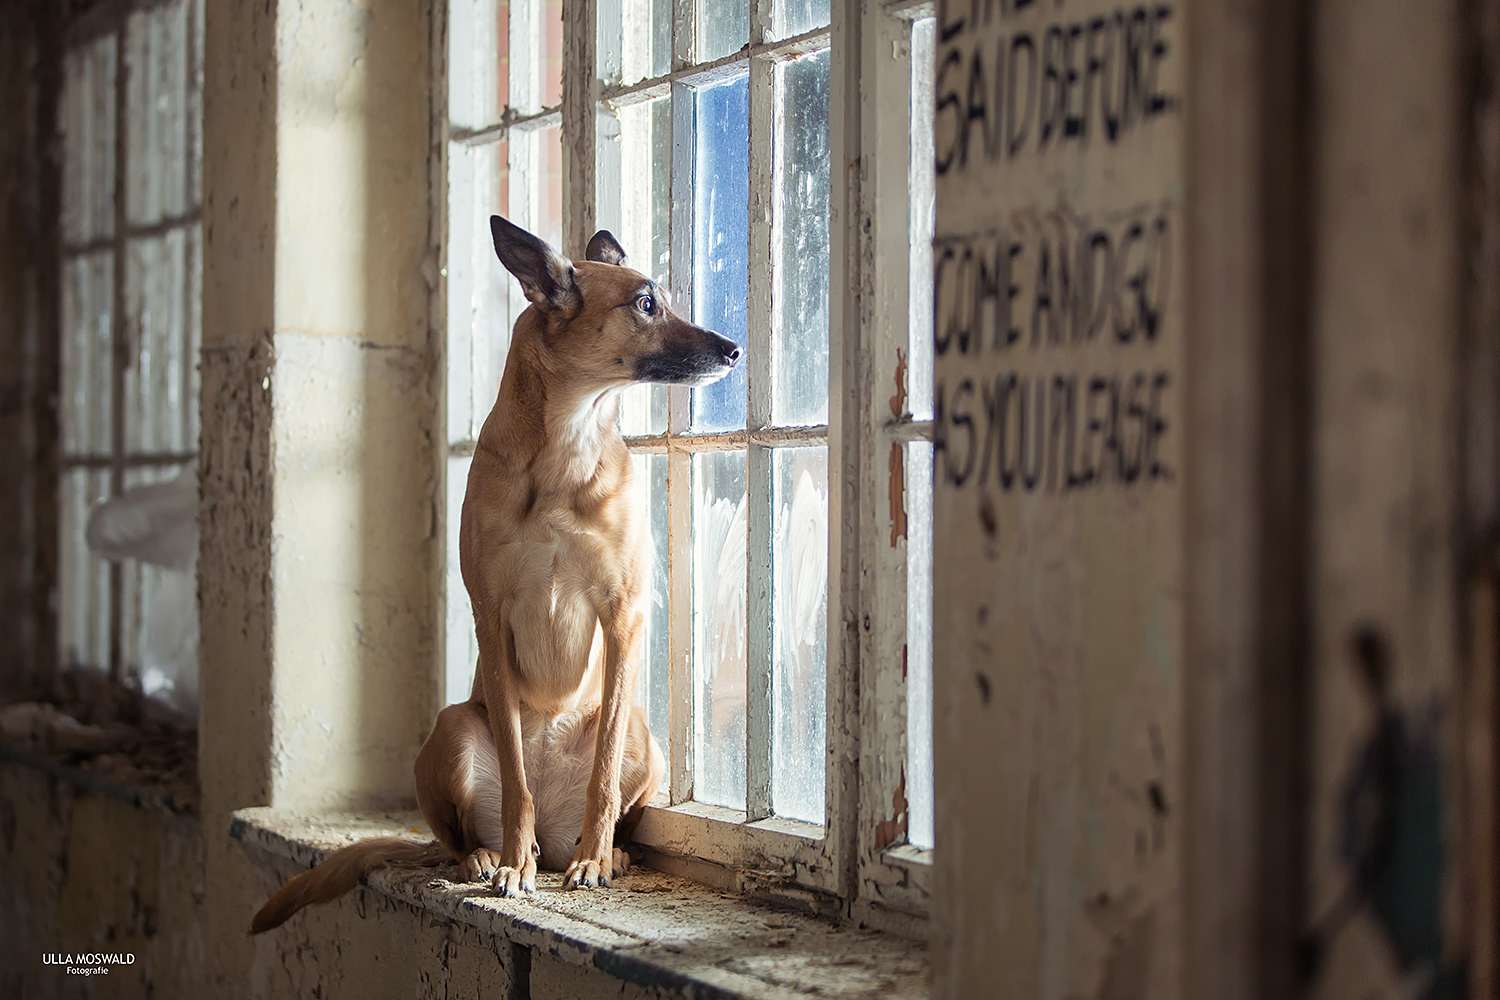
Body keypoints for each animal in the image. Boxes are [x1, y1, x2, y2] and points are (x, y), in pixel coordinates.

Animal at [252, 217, 744, 929]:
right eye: (646, 303)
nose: (734, 350)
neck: (567, 443)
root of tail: (556, 838)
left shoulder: (622, 616)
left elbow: (600, 780)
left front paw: (596, 860)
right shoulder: (492, 618)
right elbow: (515, 778)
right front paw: (512, 863)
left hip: (639, 734)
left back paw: (604, 853)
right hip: (453, 730)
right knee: (459, 834)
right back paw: (487, 857)